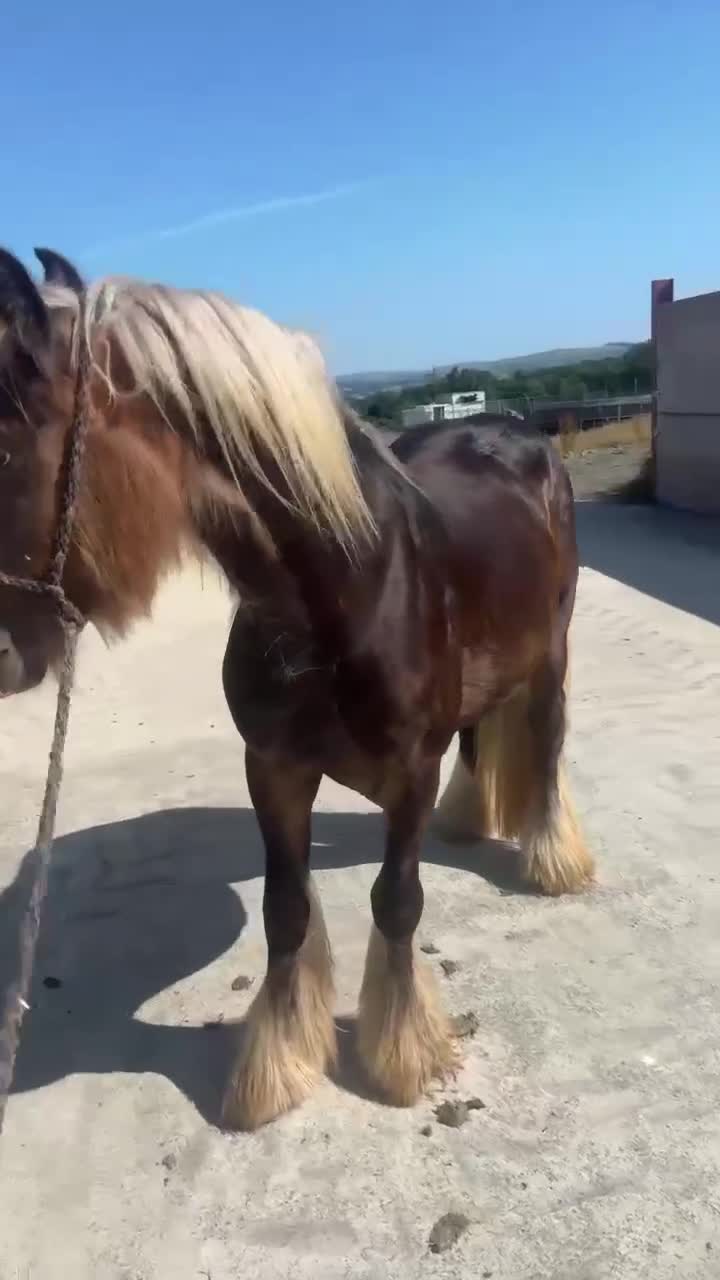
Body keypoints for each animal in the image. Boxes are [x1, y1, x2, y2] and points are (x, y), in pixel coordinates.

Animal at [0, 246, 594, 1131]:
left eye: (3, 454)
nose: (4, 654)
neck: (345, 584)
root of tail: (520, 433)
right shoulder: (274, 769)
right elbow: (286, 911)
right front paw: (277, 1064)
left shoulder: (408, 775)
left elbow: (396, 902)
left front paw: (399, 1053)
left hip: (552, 652)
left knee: (547, 747)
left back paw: (553, 859)